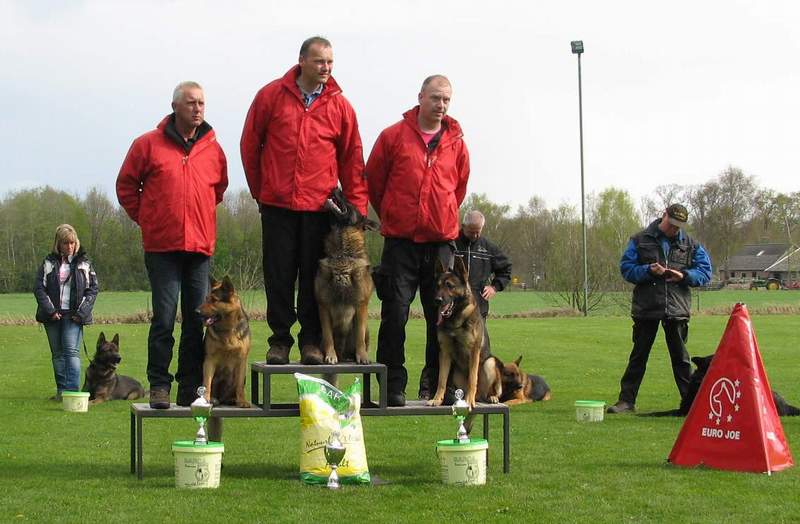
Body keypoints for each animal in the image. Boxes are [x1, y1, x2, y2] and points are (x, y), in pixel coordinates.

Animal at [195, 276, 250, 408]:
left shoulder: (242, 361)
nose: (196, 311)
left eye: (214, 300)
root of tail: (222, 399)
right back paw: (214, 399)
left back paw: (232, 399)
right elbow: (207, 383)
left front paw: (242, 401)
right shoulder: (210, 360)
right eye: (206, 299)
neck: (228, 330)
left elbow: (240, 386)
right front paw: (205, 400)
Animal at [312, 187, 378, 364]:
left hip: (367, 328)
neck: (342, 254)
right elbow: (328, 336)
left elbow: (359, 337)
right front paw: (330, 355)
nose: (335, 187)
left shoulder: (361, 306)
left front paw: (362, 357)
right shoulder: (324, 306)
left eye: (350, 200)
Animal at [424, 256, 500, 410]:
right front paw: (436, 399)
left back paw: (490, 397)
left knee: (487, 388)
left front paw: (469, 402)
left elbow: (472, 379)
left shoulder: (474, 351)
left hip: (489, 363)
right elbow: (441, 380)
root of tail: (480, 396)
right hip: (456, 374)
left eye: (449, 286)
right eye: (438, 286)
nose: (437, 300)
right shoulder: (444, 352)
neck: (456, 320)